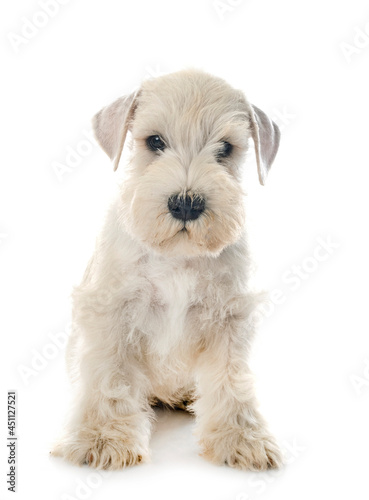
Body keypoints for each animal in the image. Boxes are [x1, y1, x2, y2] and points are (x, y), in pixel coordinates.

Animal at [51, 68, 280, 470]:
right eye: (155, 141)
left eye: (225, 148)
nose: (186, 204)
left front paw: (241, 437)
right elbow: (110, 378)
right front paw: (102, 437)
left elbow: (232, 381)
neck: (178, 256)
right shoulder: (111, 314)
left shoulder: (229, 318)